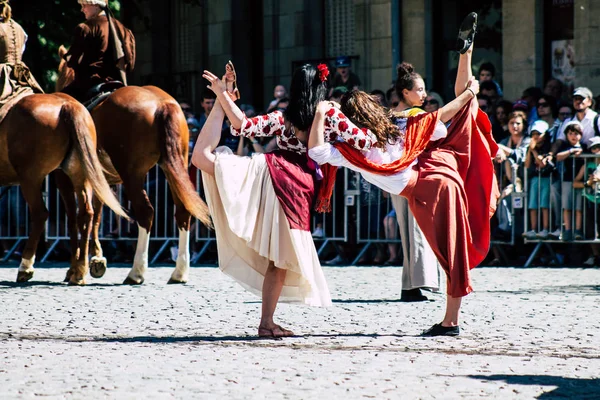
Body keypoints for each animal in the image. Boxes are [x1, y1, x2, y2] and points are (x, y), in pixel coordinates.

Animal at [0, 91, 130, 284]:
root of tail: (69, 105)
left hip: (30, 178)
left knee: (40, 214)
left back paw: (26, 266)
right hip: (78, 174)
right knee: (85, 213)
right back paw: (80, 270)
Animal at [56, 46, 211, 284]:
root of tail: (162, 104)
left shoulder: (66, 180)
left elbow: (78, 217)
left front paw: (76, 268)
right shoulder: (102, 181)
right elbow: (97, 214)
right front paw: (96, 259)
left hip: (133, 174)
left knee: (145, 212)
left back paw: (136, 271)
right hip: (175, 167)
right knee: (183, 211)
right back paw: (179, 272)